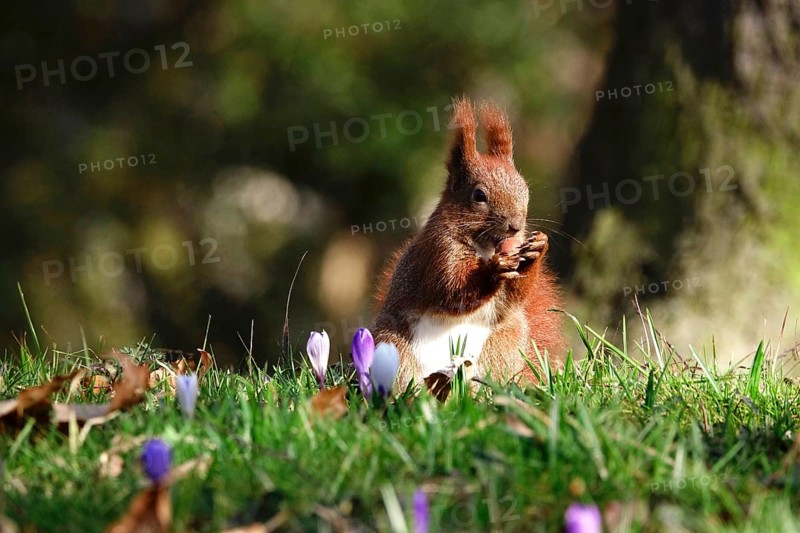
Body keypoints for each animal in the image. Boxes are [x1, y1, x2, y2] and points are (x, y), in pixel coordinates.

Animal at [372, 98, 564, 388]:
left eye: (524, 188)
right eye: (479, 195)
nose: (516, 226)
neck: (486, 247)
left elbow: (512, 297)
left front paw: (537, 250)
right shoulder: (437, 251)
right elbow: (450, 288)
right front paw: (493, 270)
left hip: (502, 346)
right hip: (393, 347)